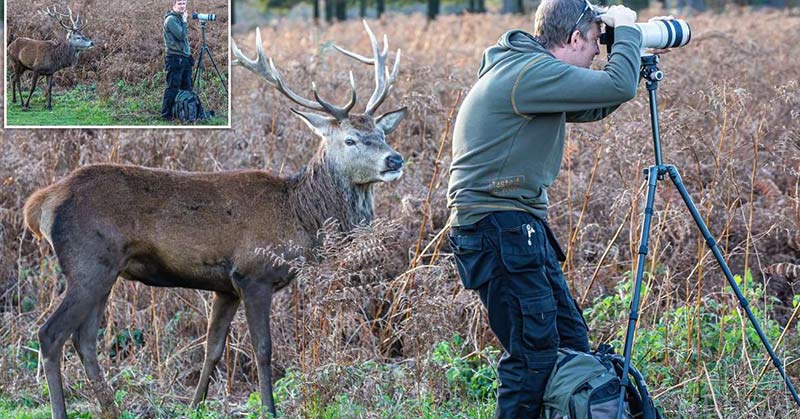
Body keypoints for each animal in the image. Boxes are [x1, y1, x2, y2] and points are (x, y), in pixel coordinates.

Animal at [23, 21, 406, 419]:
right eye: (351, 140)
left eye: (382, 133)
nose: (394, 159)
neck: (299, 217)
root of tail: (41, 203)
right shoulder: (254, 273)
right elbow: (263, 350)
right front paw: (269, 409)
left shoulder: (225, 286)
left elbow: (213, 348)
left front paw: (195, 406)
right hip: (87, 263)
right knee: (50, 334)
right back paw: (63, 409)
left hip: (105, 271)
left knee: (85, 341)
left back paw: (111, 409)